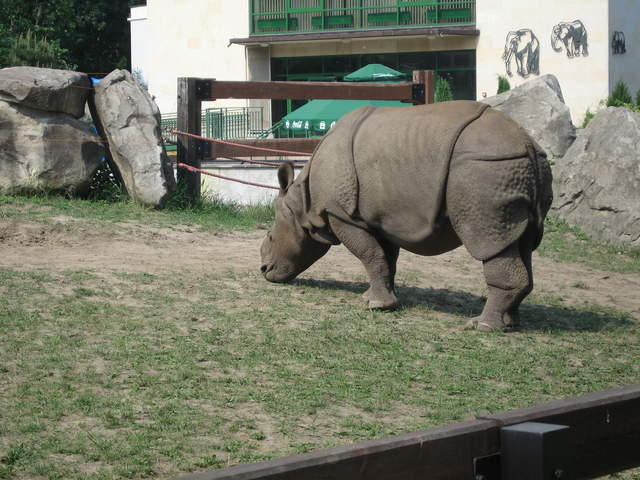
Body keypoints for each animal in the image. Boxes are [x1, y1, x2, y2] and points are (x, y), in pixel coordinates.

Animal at [260, 101, 553, 331]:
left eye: (271, 236)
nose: (264, 271)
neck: (304, 203)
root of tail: (527, 143)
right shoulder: (378, 218)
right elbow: (384, 259)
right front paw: (376, 299)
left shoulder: (342, 214)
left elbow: (368, 254)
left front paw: (376, 305)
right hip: (519, 168)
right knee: (522, 243)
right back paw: (509, 323)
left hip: (485, 169)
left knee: (488, 241)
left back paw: (482, 326)